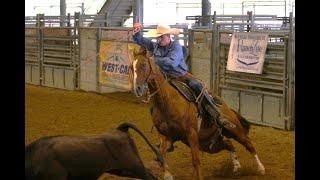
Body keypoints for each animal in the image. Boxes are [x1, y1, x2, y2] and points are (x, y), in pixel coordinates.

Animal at [131, 47, 264, 179]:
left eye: (143, 65)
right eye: (131, 67)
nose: (137, 89)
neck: (167, 101)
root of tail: (228, 108)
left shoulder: (192, 133)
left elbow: (196, 161)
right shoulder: (166, 135)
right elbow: (160, 155)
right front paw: (167, 175)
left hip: (235, 130)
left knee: (248, 144)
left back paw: (260, 168)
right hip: (210, 144)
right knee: (229, 143)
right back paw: (236, 166)